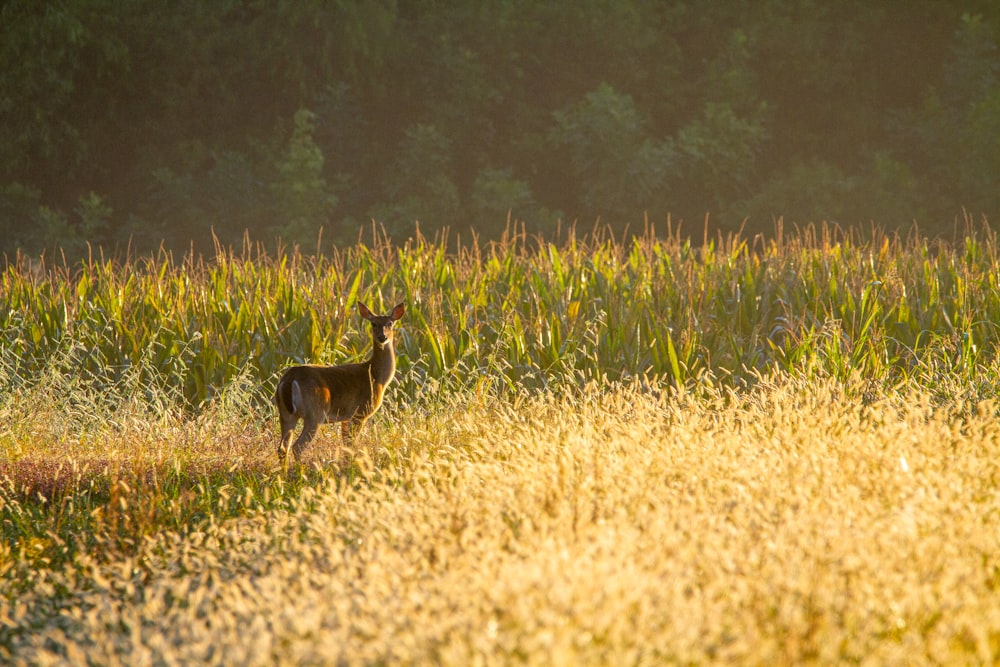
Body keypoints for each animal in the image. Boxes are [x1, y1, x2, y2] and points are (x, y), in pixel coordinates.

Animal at [276, 302, 404, 464]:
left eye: (390, 323)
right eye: (373, 323)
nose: (382, 337)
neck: (377, 376)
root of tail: (289, 379)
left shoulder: (346, 417)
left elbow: (346, 445)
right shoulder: (360, 413)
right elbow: (351, 445)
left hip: (285, 413)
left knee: (283, 448)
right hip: (315, 413)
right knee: (298, 446)